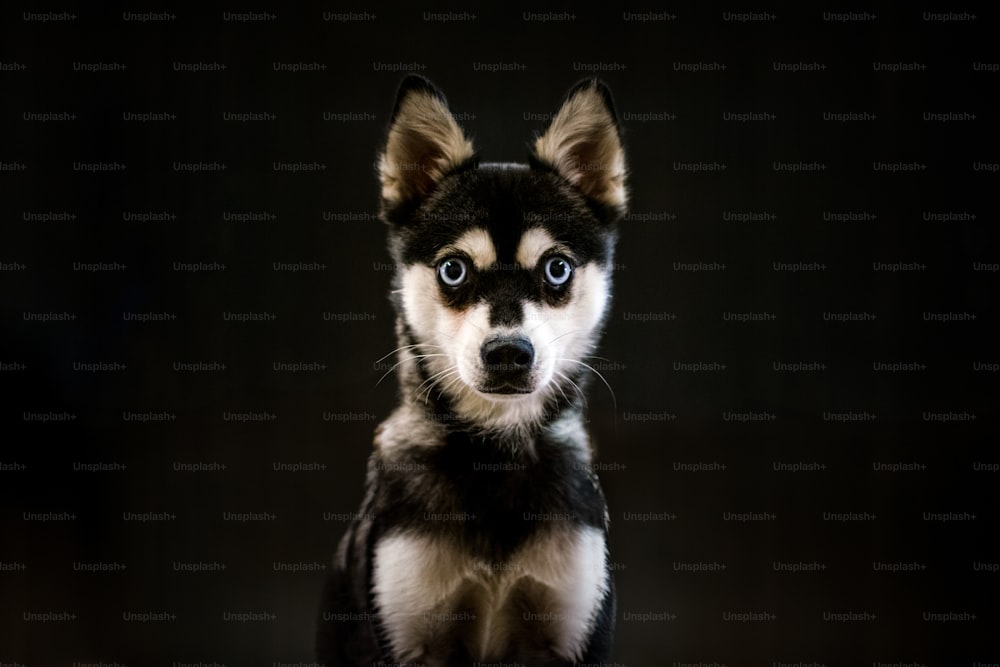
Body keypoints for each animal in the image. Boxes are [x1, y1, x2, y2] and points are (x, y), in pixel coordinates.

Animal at [314, 74, 624, 667]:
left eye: (557, 267)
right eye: (453, 270)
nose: (507, 353)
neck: (494, 452)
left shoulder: (572, 630)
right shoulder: (407, 634)